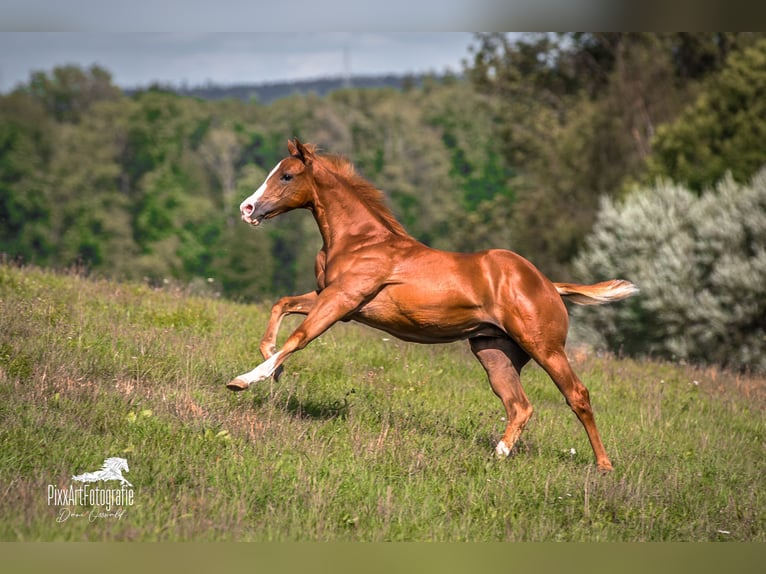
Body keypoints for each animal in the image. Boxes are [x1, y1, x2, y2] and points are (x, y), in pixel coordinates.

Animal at [228, 139, 638, 471]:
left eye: (287, 175)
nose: (247, 208)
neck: (360, 240)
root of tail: (548, 284)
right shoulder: (331, 299)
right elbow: (281, 307)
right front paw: (273, 366)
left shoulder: (341, 300)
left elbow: (299, 337)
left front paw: (246, 379)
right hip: (494, 352)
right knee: (519, 404)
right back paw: (499, 453)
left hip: (545, 347)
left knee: (577, 395)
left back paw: (603, 466)